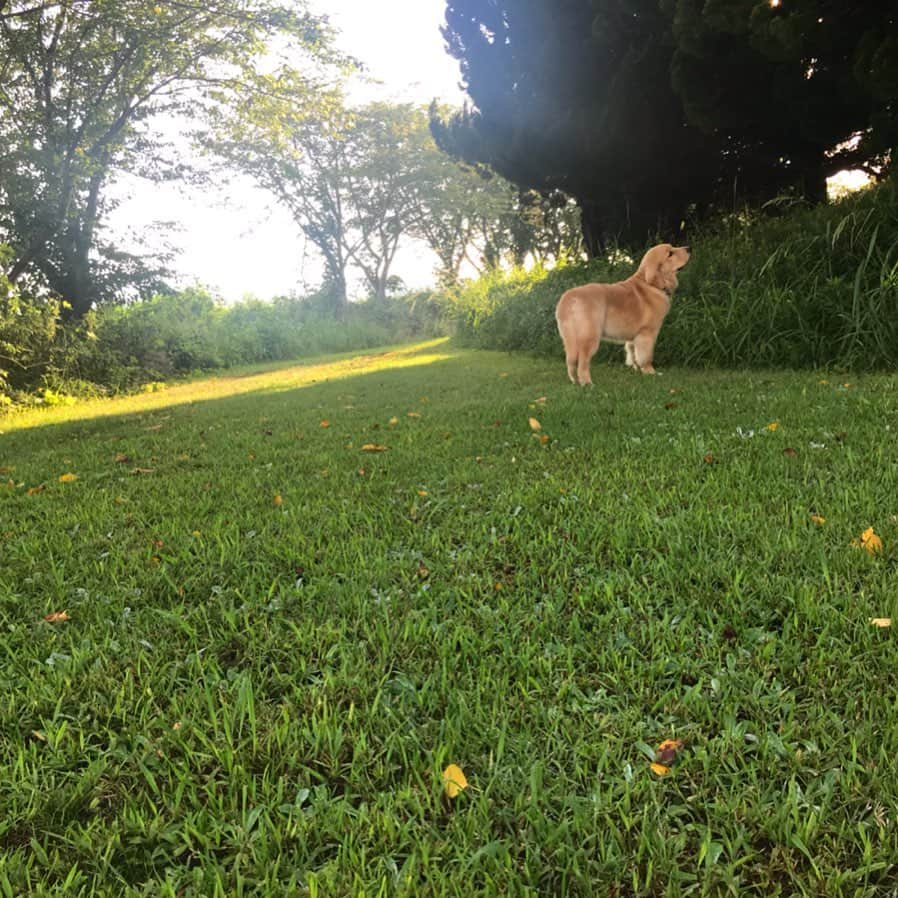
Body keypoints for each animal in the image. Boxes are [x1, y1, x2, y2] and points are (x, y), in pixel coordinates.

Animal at [552, 243, 692, 384]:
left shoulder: (634, 336)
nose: (688, 248)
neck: (652, 285)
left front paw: (637, 370)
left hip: (569, 338)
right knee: (582, 361)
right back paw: (587, 383)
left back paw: (575, 381)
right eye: (670, 254)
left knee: (571, 361)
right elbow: (646, 356)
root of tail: (570, 296)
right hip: (589, 336)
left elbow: (633, 352)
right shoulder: (647, 333)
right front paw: (650, 372)